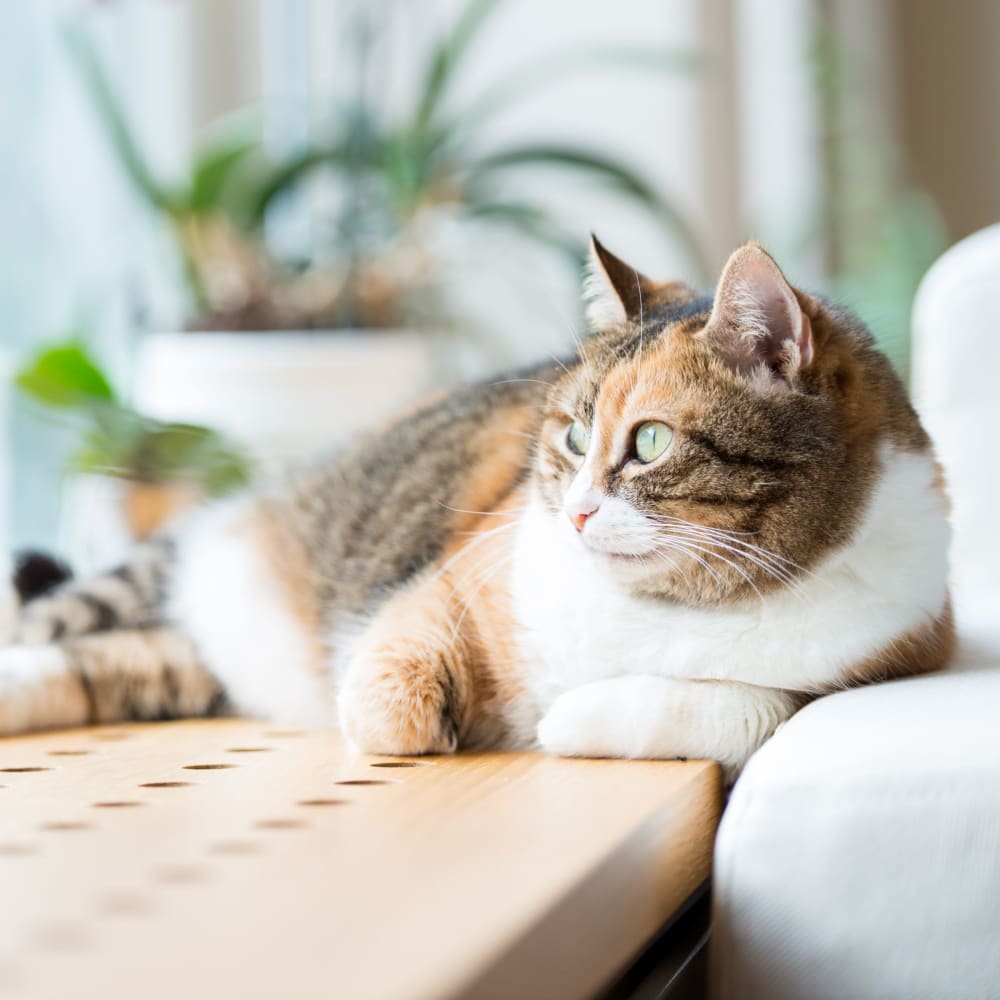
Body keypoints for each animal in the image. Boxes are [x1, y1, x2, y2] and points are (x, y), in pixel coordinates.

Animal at [0, 238, 952, 776]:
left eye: (649, 442)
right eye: (573, 434)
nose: (575, 513)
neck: (665, 607)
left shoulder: (890, 655)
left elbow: (752, 707)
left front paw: (568, 720)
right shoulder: (449, 583)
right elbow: (388, 700)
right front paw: (444, 718)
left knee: (112, 664)